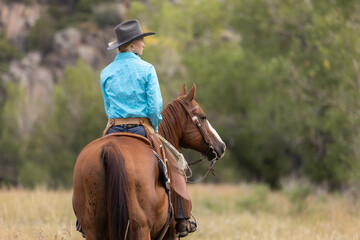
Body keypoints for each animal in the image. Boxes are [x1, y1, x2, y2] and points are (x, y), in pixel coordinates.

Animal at [73, 83, 225, 239]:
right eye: (203, 117)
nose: (221, 146)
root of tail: (111, 148)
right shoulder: (170, 233)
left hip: (93, 229)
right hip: (141, 229)